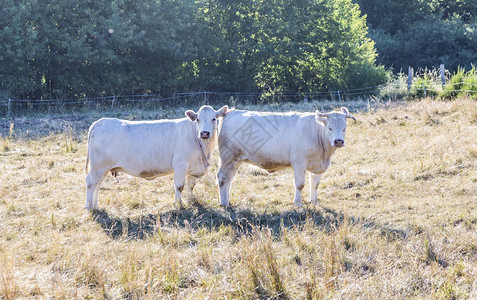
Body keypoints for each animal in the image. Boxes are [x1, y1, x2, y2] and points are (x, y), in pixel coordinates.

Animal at [84, 105, 228, 211]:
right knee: (91, 182)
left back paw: (95, 206)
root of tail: (103, 121)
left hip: (103, 168)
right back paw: (89, 207)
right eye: (198, 119)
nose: (204, 133)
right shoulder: (180, 164)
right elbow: (179, 186)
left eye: (214, 119)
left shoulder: (192, 168)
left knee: (97, 184)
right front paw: (178, 204)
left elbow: (190, 186)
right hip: (98, 166)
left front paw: (191, 201)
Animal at [218, 106, 356, 207]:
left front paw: (314, 202)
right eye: (330, 128)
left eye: (344, 128)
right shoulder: (299, 162)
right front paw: (298, 204)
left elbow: (315, 184)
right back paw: (224, 203)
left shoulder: (317, 165)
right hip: (228, 157)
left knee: (229, 179)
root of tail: (232, 112)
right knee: (223, 178)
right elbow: (300, 184)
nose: (339, 141)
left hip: (235, 160)